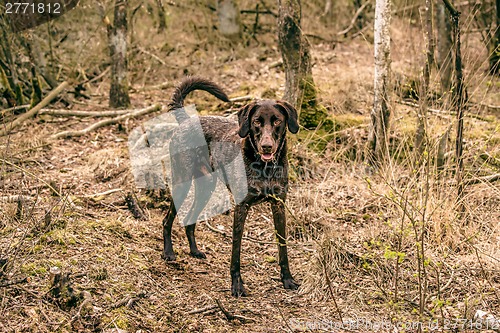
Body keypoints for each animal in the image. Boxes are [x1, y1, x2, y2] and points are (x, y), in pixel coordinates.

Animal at [162, 77, 298, 296]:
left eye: (277, 121)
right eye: (256, 121)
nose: (266, 147)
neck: (265, 167)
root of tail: (187, 120)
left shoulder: (279, 205)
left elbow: (282, 245)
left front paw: (287, 279)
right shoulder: (241, 207)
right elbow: (236, 249)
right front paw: (237, 284)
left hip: (206, 188)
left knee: (190, 221)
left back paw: (194, 251)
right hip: (182, 183)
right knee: (167, 220)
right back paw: (168, 253)